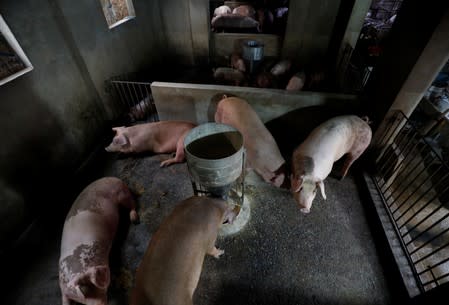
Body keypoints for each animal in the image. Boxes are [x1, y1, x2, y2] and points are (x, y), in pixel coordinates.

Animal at [58, 176, 137, 304]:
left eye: (95, 286)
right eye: (83, 298)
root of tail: (112, 178)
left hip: (122, 194)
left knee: (133, 204)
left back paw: (134, 219)